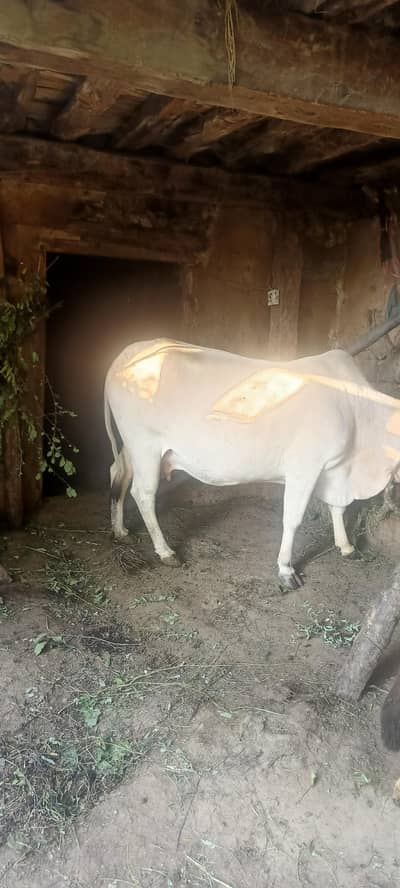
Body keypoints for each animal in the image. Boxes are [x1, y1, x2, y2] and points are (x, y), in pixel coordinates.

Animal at [104, 338, 400, 589]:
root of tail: (125, 355)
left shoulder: (336, 469)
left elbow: (338, 508)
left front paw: (346, 547)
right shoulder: (305, 467)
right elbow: (292, 519)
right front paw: (286, 571)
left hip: (132, 446)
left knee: (118, 473)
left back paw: (120, 530)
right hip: (145, 444)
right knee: (143, 493)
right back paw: (165, 552)